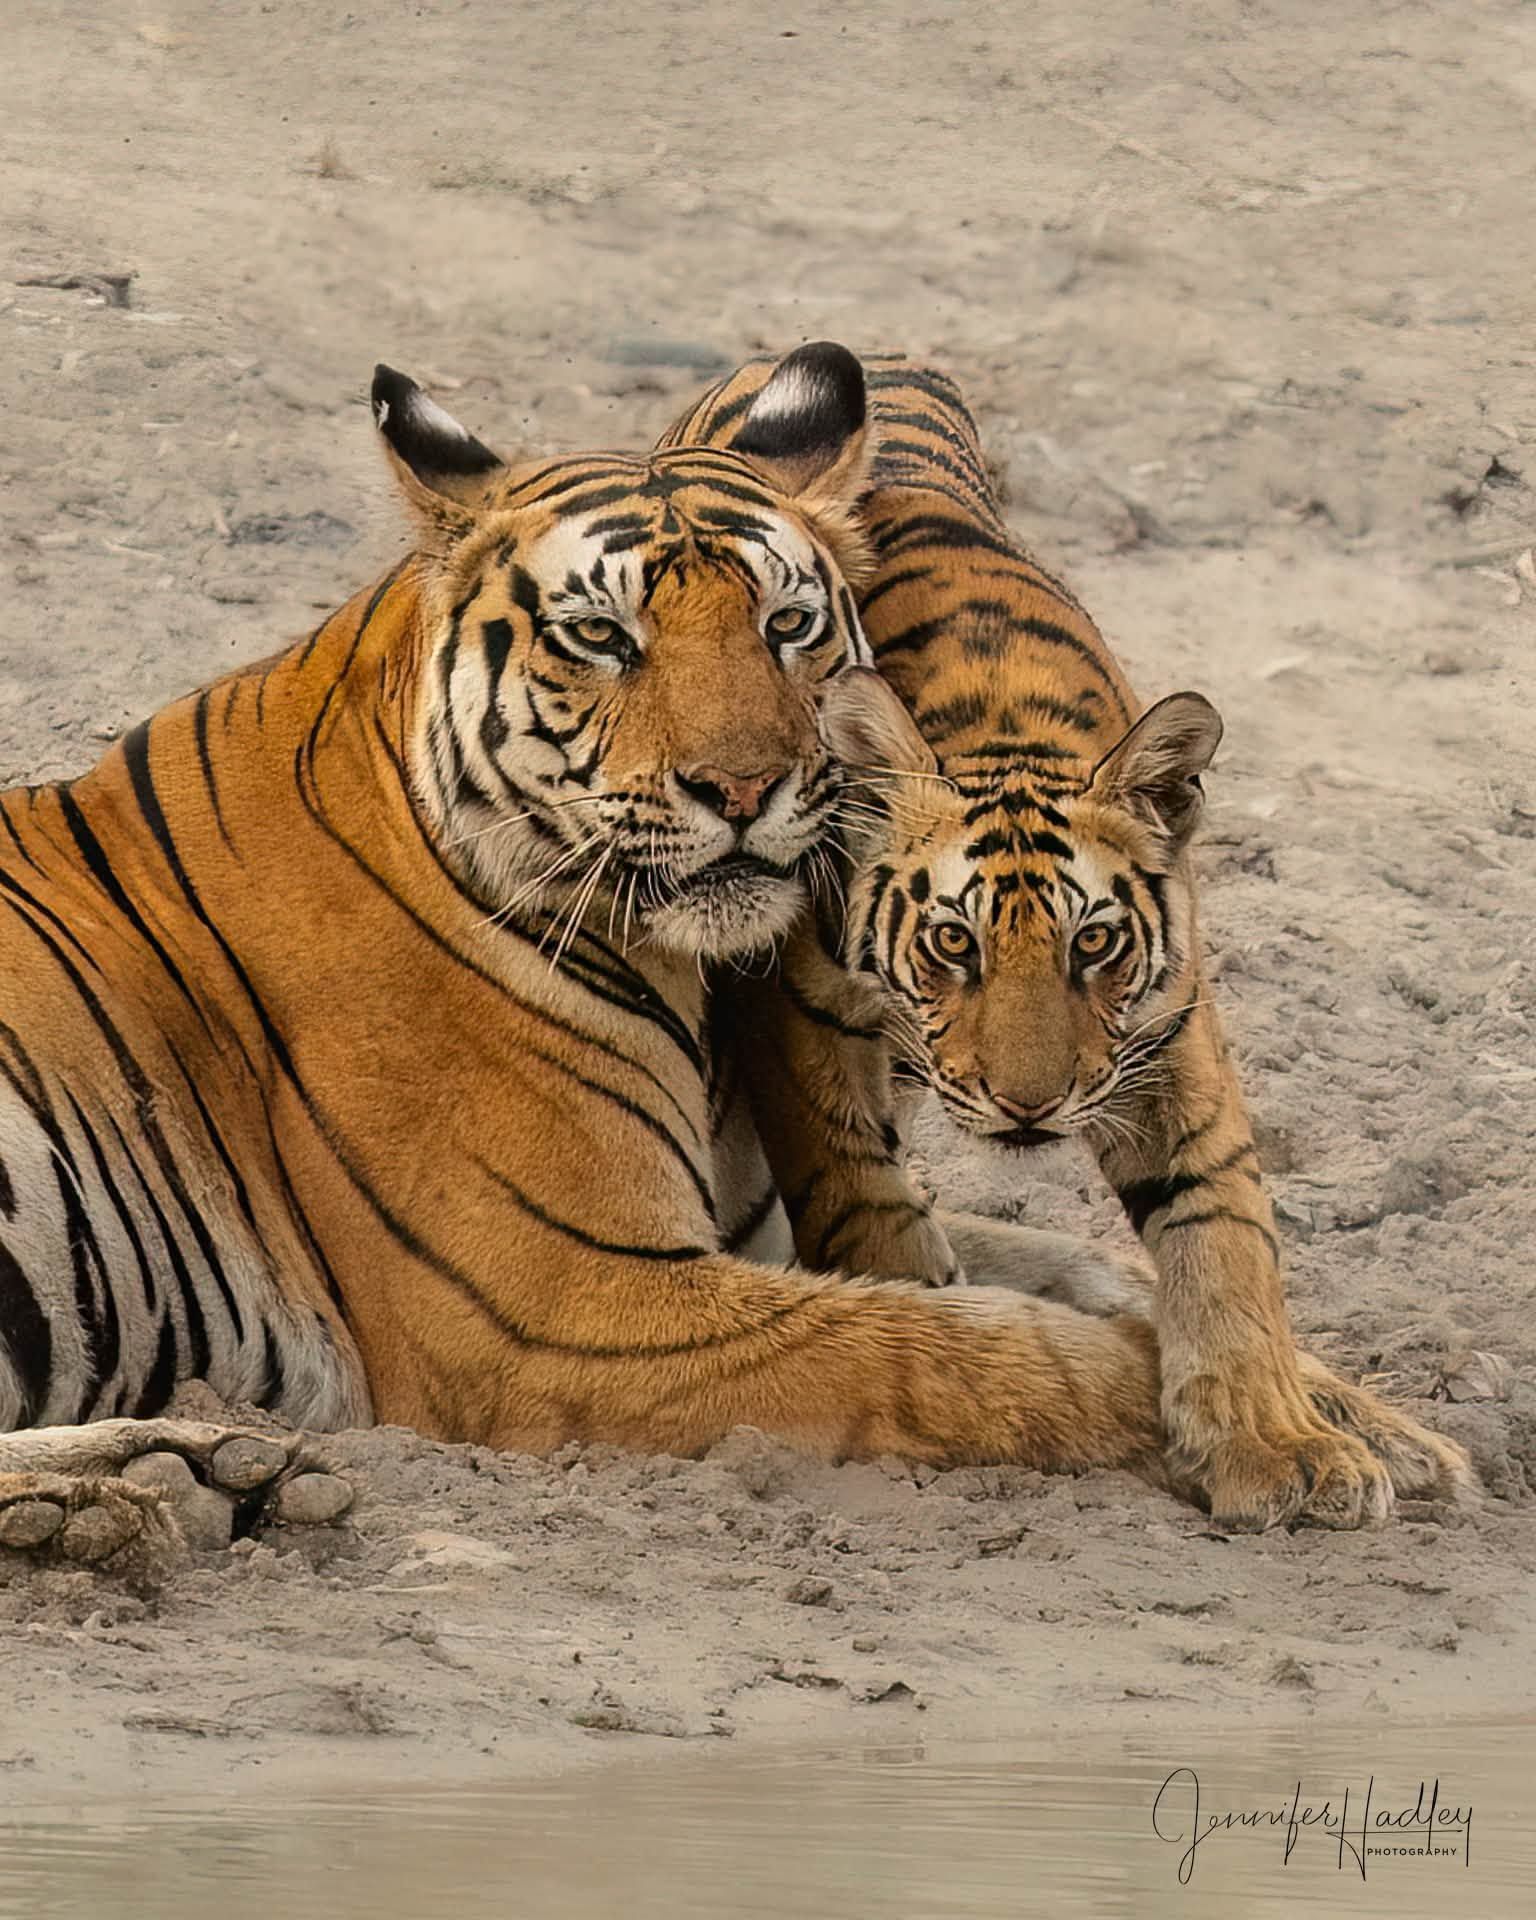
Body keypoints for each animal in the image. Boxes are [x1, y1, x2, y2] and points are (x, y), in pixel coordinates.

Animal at [0, 353, 1181, 1555]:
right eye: (605, 637)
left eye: (788, 623)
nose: (745, 787)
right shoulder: (574, 1302)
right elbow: (959, 1350)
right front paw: (1194, 1396)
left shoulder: (746, 1238)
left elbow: (1052, 1264)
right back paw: (112, 1497)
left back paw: (196, 1473)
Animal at [659, 343, 1473, 1532]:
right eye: (952, 946)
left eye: (1095, 947)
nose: (1029, 1108)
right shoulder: (802, 1011)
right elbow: (860, 1189)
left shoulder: (1171, 1027)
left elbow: (1223, 1230)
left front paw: (1276, 1445)